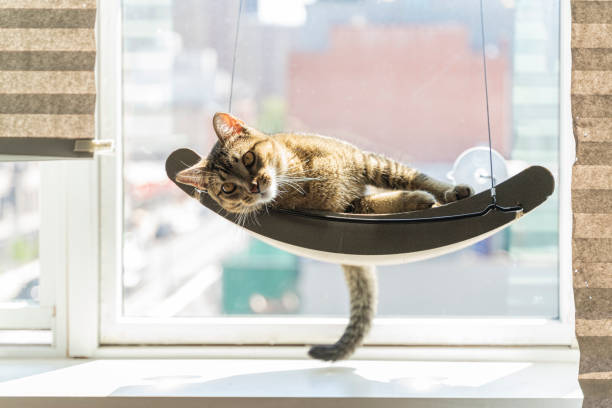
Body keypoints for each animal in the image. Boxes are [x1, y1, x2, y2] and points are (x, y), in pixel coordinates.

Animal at [176, 111, 474, 360]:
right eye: (227, 188)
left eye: (248, 158)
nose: (253, 187)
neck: (300, 172)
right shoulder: (349, 207)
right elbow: (382, 201)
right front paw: (413, 200)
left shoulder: (367, 162)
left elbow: (417, 177)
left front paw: (450, 191)